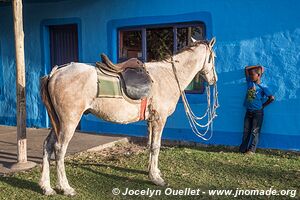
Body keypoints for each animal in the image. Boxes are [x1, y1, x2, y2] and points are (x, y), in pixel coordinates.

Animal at [38, 38, 217, 195]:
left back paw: (46, 187)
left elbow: (150, 145)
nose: (214, 79)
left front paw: (153, 172)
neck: (169, 76)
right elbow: (156, 146)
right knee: (59, 149)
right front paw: (156, 178)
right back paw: (65, 187)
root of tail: (55, 73)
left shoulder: (150, 121)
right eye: (213, 57)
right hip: (69, 121)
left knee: (48, 145)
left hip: (58, 122)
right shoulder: (159, 119)